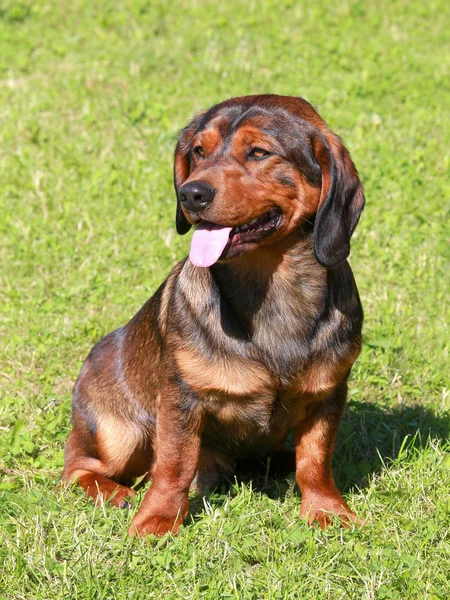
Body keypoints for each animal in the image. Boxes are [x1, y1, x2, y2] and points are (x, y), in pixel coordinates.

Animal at [62, 95, 366, 540]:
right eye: (198, 152)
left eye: (259, 152)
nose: (191, 194)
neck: (271, 288)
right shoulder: (181, 398)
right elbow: (174, 464)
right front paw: (157, 520)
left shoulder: (327, 394)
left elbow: (315, 460)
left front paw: (327, 510)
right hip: (120, 435)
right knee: (75, 469)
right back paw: (115, 493)